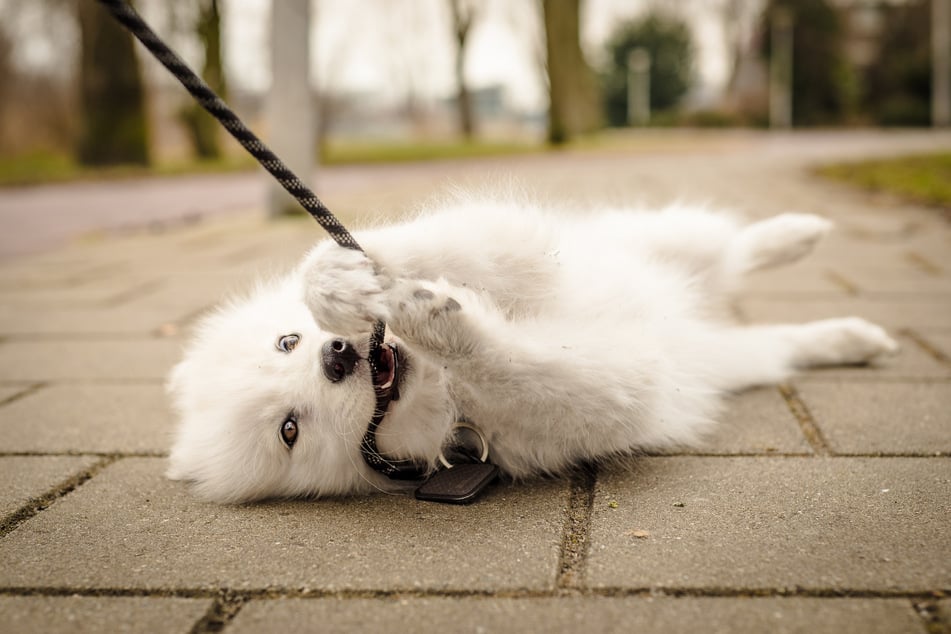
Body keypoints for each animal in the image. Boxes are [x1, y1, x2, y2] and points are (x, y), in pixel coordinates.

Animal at [165, 195, 900, 502]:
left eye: (288, 340)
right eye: (289, 428)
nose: (337, 356)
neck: (438, 390)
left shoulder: (520, 250)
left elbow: (457, 248)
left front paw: (347, 281)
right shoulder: (607, 394)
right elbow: (520, 366)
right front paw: (437, 319)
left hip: (659, 241)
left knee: (729, 249)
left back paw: (798, 233)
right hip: (735, 358)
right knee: (776, 334)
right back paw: (853, 337)